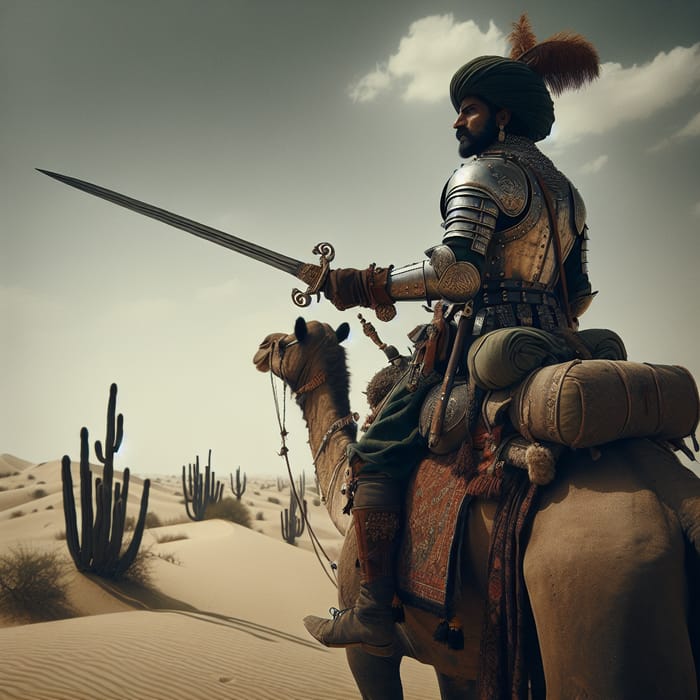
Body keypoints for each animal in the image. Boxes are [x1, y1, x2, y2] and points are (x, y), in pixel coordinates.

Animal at [253, 318, 700, 700]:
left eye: (286, 341)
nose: (260, 347)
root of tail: (673, 491)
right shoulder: (455, 665)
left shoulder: (368, 653)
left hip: (599, 603)